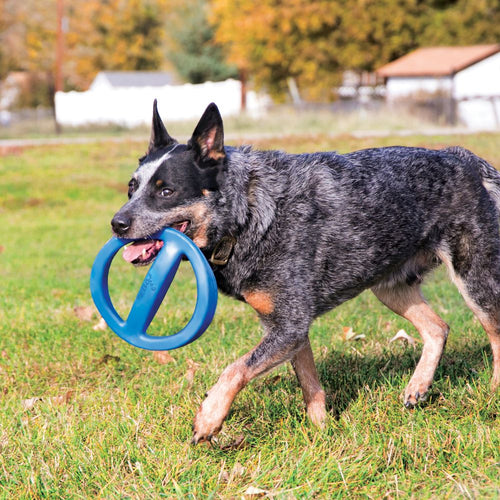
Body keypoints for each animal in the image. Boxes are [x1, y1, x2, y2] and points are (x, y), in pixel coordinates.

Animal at [110, 100, 500, 442]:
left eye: (166, 191)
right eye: (131, 187)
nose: (117, 223)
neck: (249, 214)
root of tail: (464, 157)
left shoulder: (290, 326)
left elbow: (235, 368)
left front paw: (209, 418)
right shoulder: (284, 326)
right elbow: (309, 382)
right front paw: (321, 432)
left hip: (475, 277)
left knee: (494, 331)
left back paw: (493, 396)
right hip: (390, 286)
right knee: (438, 328)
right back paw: (417, 387)